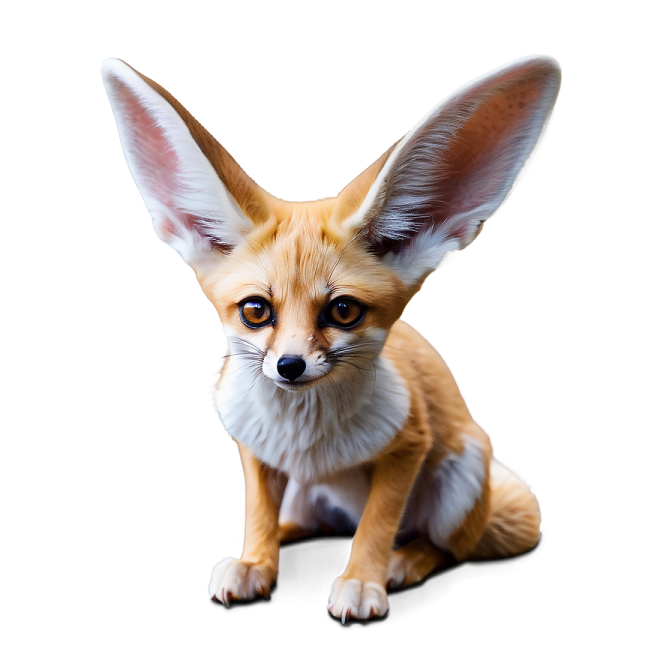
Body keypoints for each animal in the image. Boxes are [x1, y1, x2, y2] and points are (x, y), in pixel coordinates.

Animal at [101, 54, 560, 622]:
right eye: (256, 311)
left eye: (343, 311)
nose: (290, 366)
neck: (306, 439)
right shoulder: (255, 448)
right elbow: (257, 513)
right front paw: (256, 562)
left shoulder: (409, 445)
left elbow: (377, 526)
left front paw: (362, 579)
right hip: (308, 493)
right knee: (316, 522)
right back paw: (279, 541)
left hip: (463, 477)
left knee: (445, 544)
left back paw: (404, 561)